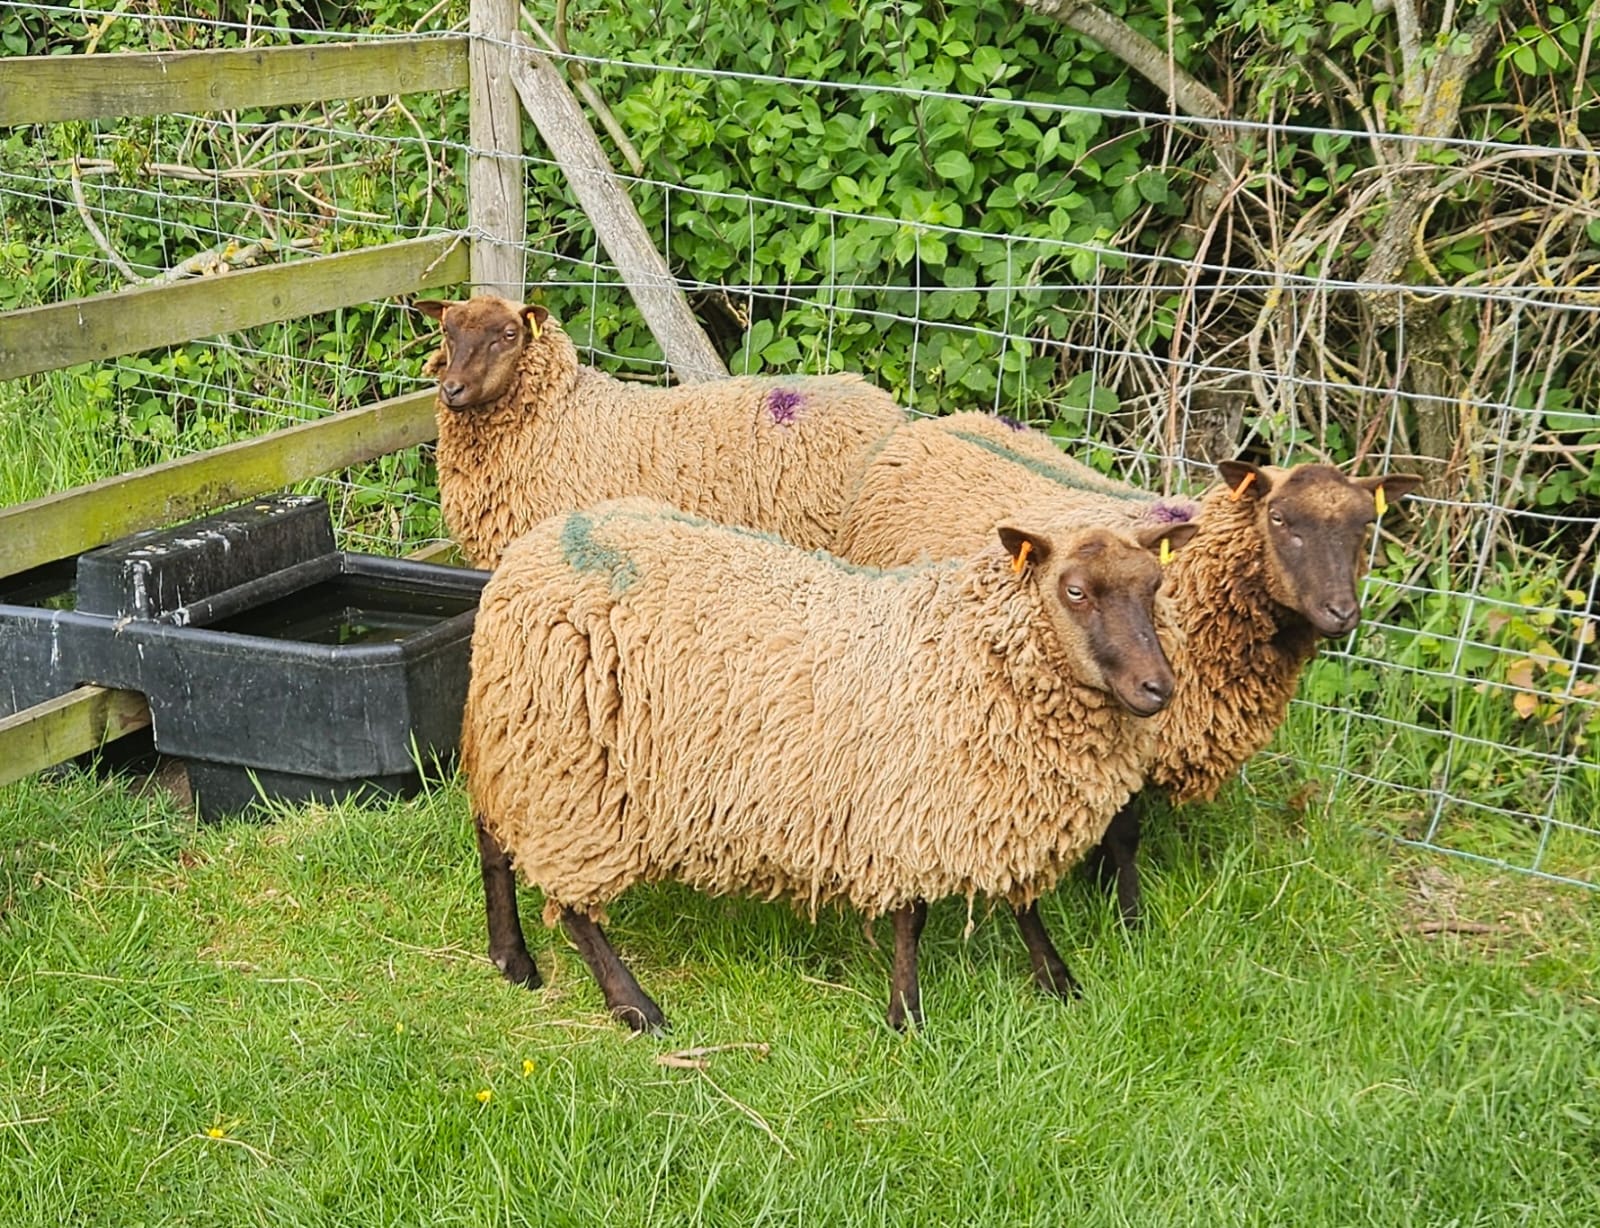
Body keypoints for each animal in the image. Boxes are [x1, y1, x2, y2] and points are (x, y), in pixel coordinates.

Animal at [462, 497, 1197, 1031]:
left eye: (1156, 586)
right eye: (1074, 591)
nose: (1159, 688)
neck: (968, 648)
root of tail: (529, 552)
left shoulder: (991, 799)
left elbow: (1025, 902)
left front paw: (1057, 979)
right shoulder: (907, 806)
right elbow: (912, 920)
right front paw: (907, 1016)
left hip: (522, 746)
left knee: (492, 841)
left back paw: (512, 958)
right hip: (567, 766)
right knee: (571, 901)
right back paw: (634, 1005)